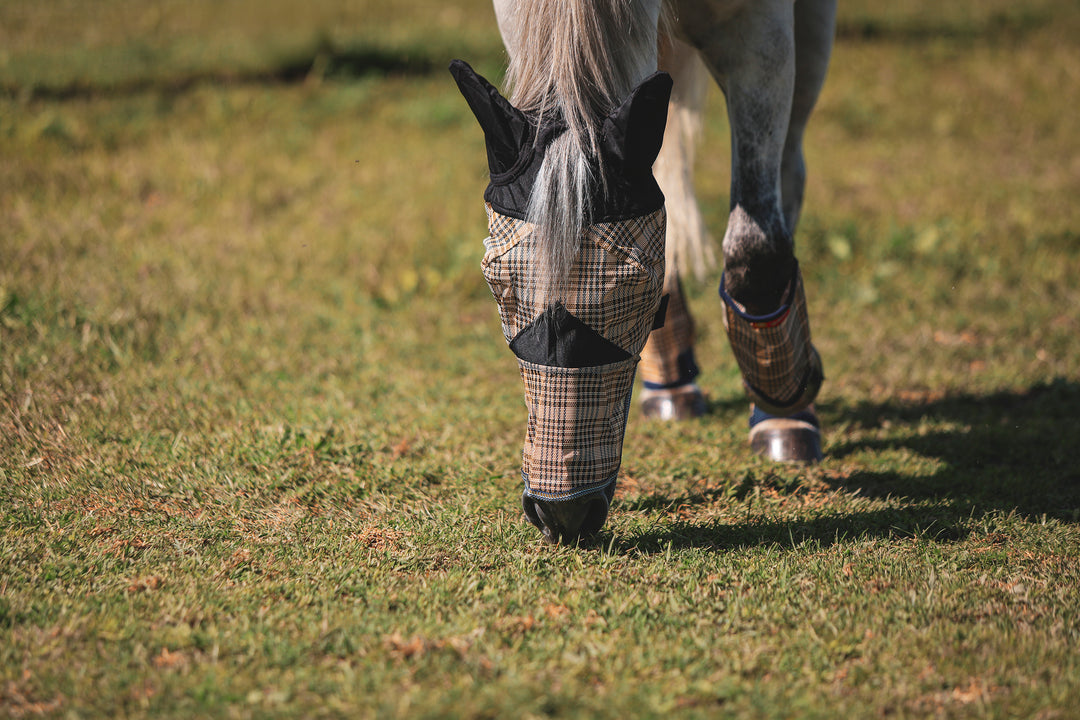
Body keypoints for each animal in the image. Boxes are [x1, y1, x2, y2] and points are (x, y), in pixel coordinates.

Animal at [451, 0, 838, 539]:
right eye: (499, 285)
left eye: (634, 288)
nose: (563, 516)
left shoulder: (761, 32)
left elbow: (756, 248)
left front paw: (787, 404)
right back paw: (671, 380)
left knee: (789, 170)